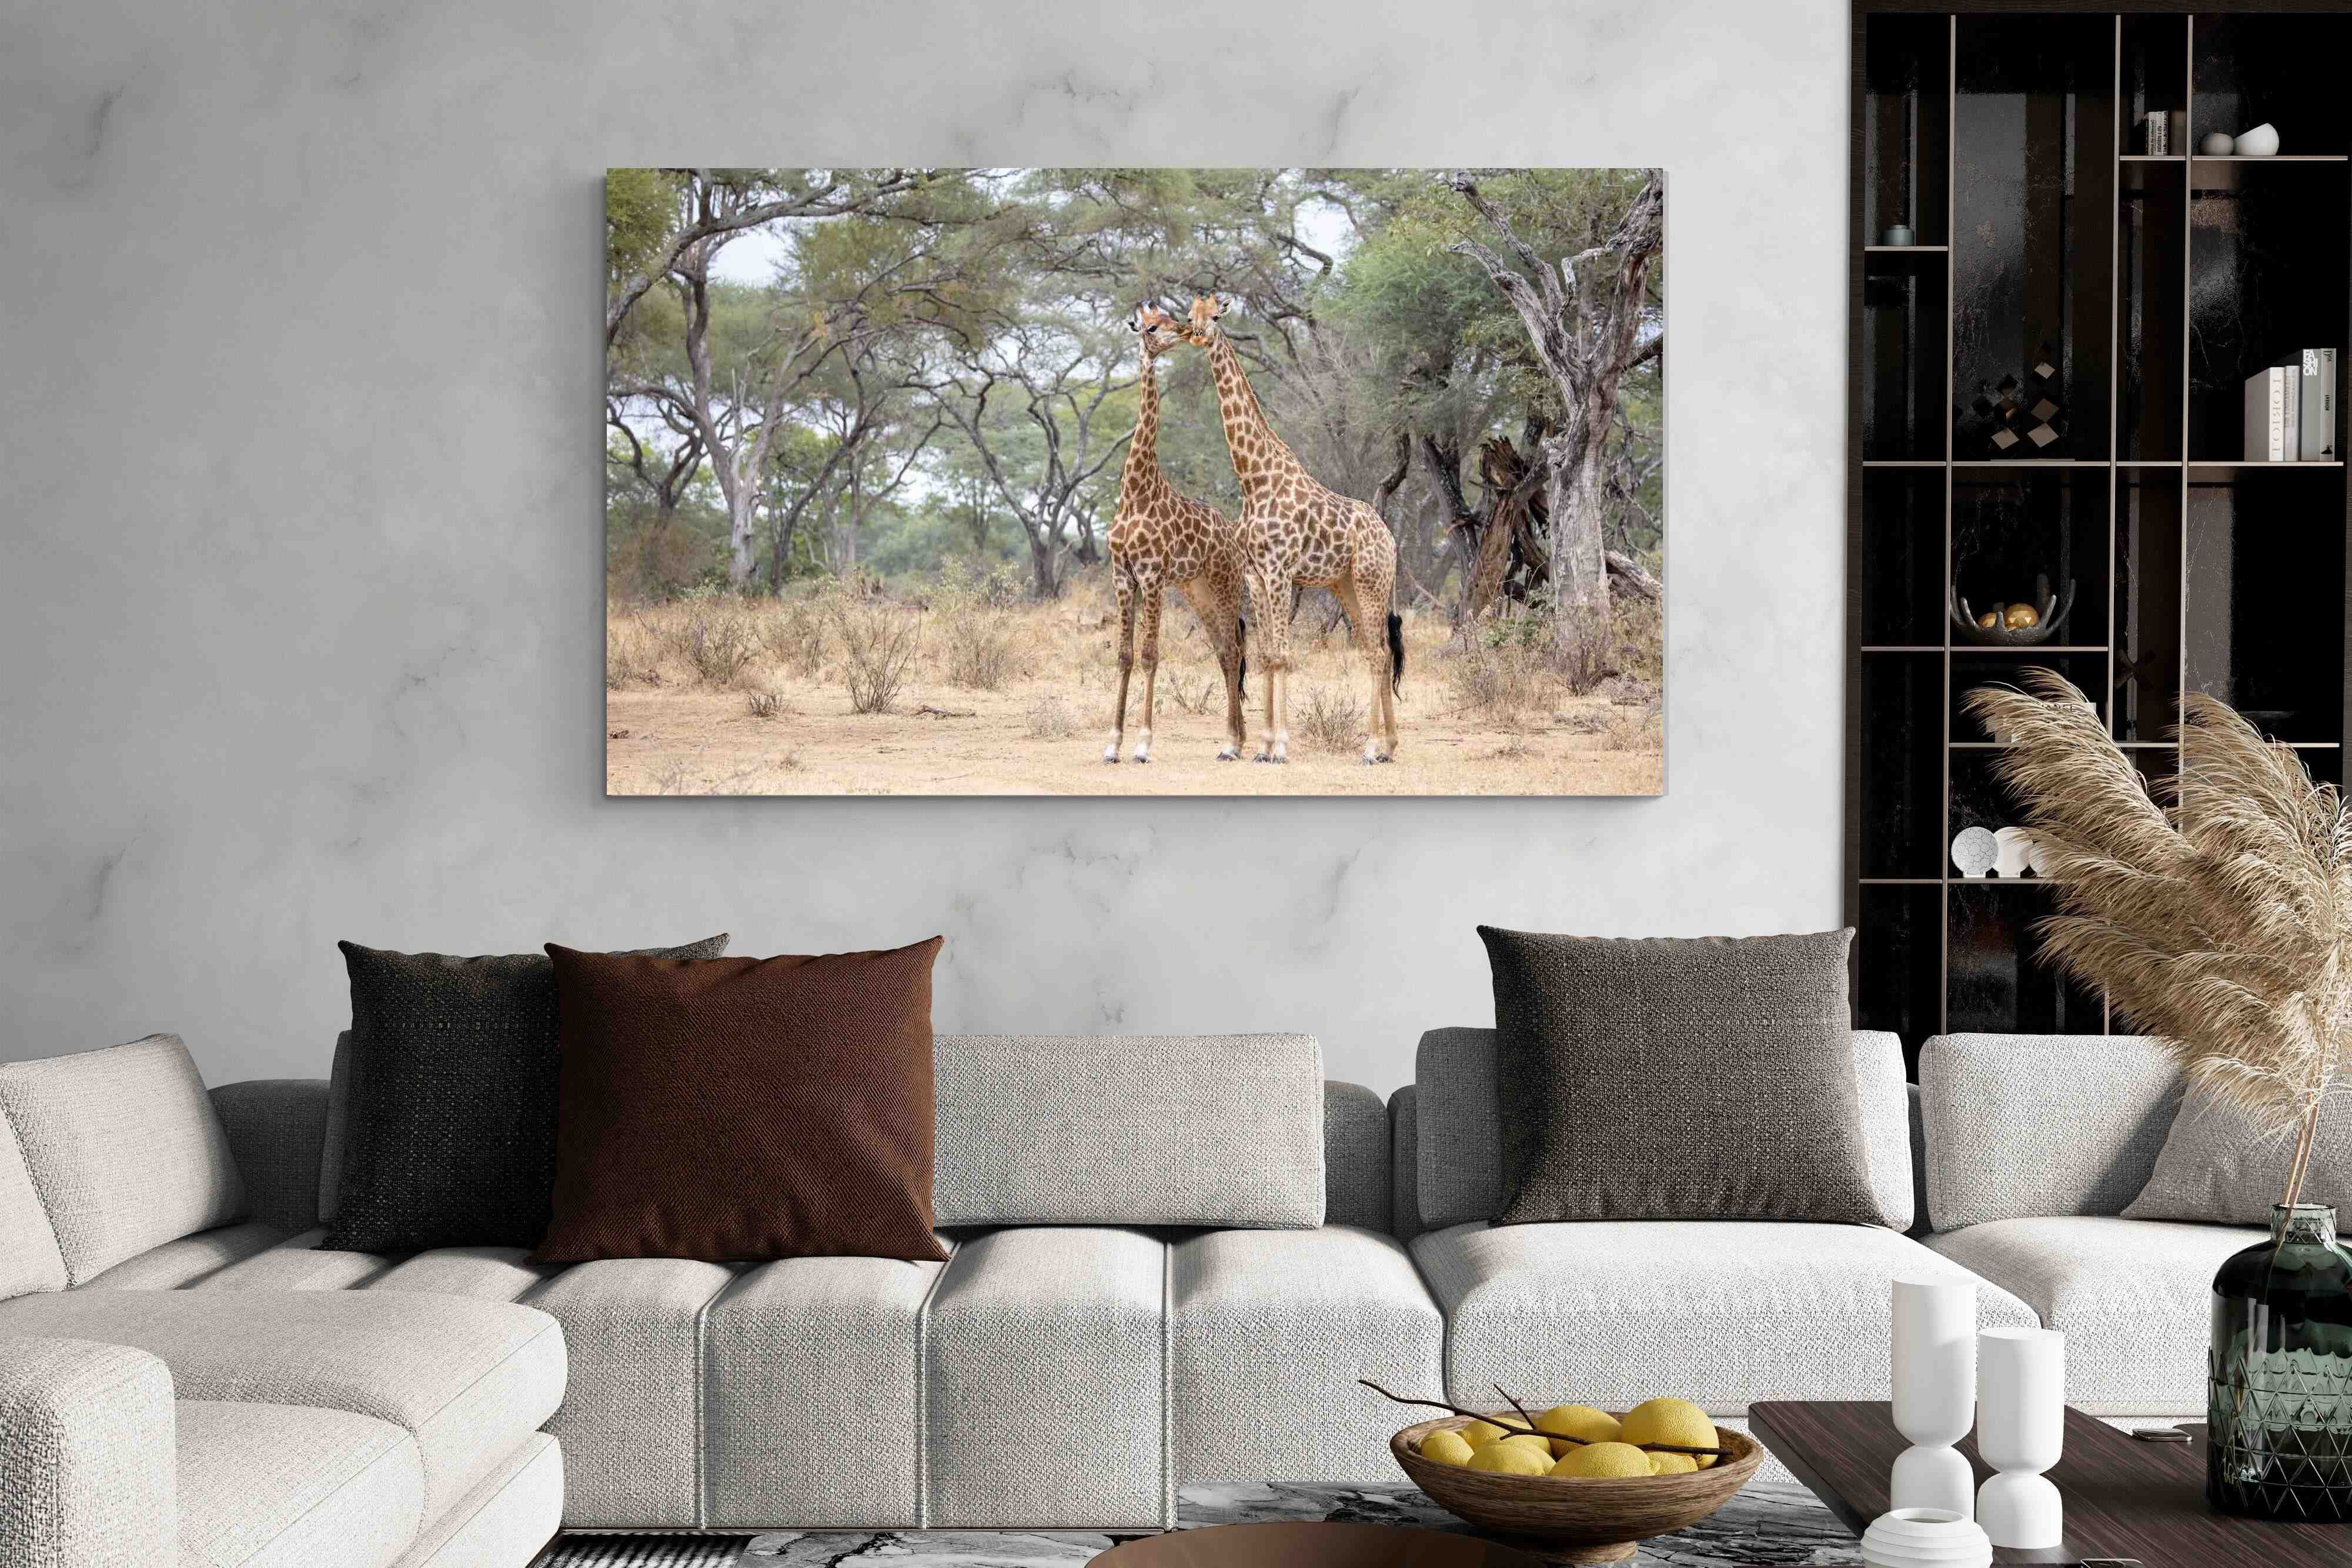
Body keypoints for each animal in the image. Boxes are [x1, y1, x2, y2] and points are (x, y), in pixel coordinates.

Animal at [1104, 305, 1251, 764]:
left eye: (1171, 318)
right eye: (1152, 326)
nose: (1185, 331)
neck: (1136, 492)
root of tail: (1233, 536)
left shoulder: (1151, 575)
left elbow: (1151, 655)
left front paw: (1142, 744)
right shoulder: (1123, 576)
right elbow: (1125, 656)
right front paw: (1112, 744)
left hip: (1225, 585)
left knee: (1235, 650)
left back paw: (1232, 743)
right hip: (1196, 590)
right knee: (1224, 652)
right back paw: (1236, 740)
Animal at [1176, 294, 1402, 764]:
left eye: (1217, 315)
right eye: (1190, 315)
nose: (1198, 334)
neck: (1253, 477)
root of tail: (1390, 538)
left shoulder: (1280, 571)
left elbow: (1282, 654)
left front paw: (1279, 747)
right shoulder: (1256, 576)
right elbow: (1266, 654)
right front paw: (1261, 746)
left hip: (1371, 581)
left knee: (1377, 653)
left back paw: (1371, 748)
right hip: (1346, 585)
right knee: (1380, 651)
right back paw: (1389, 746)